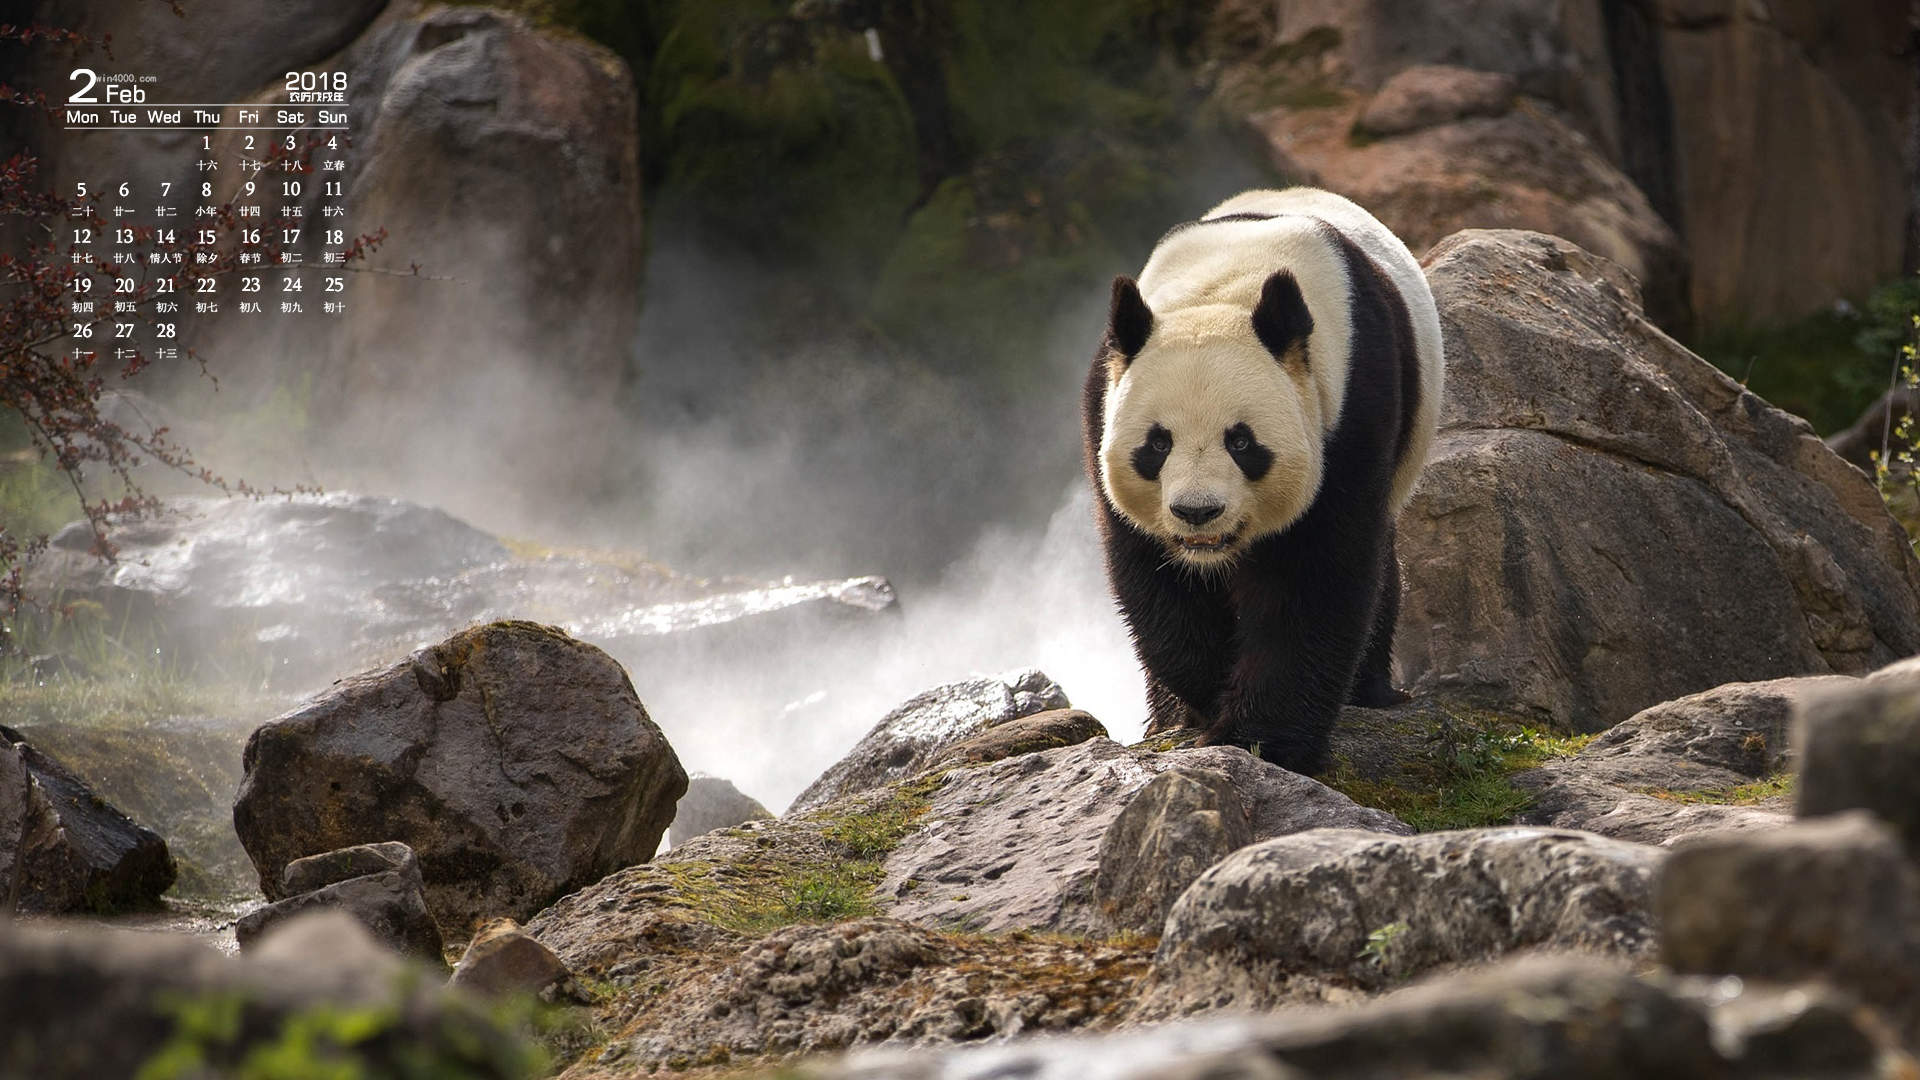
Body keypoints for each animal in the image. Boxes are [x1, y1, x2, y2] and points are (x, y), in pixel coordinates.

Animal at [1082, 187, 1444, 775]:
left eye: (1242, 442)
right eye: (1157, 444)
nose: (1198, 511)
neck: (1223, 291)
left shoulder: (1349, 408)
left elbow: (1313, 576)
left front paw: (1263, 739)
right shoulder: (1104, 408)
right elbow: (1155, 579)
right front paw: (1207, 699)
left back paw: (1371, 690)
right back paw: (1166, 716)